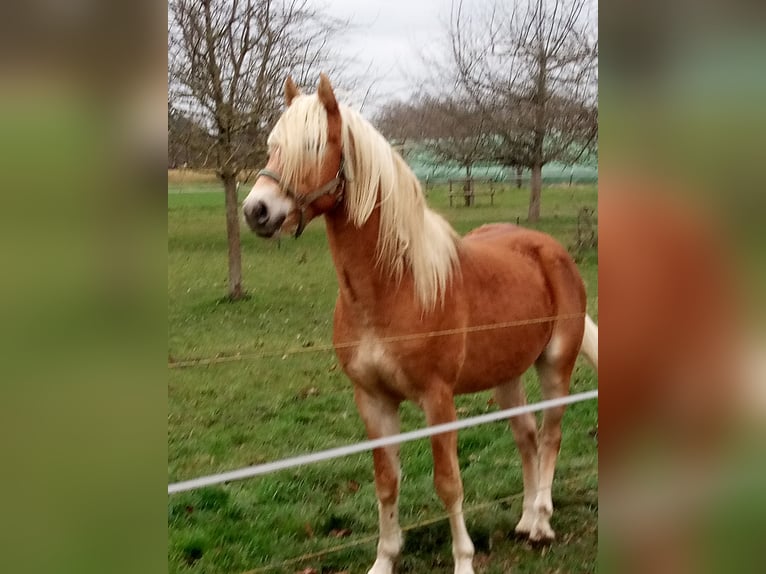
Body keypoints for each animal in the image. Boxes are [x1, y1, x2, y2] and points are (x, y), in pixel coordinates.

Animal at [243, 74, 598, 574]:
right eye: (272, 146)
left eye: (313, 145)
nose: (256, 210)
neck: (393, 287)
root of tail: (552, 250)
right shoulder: (372, 401)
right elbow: (386, 482)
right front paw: (384, 560)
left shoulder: (437, 399)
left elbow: (448, 483)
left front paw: (464, 560)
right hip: (506, 375)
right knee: (526, 436)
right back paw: (527, 519)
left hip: (556, 366)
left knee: (550, 436)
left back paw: (543, 524)